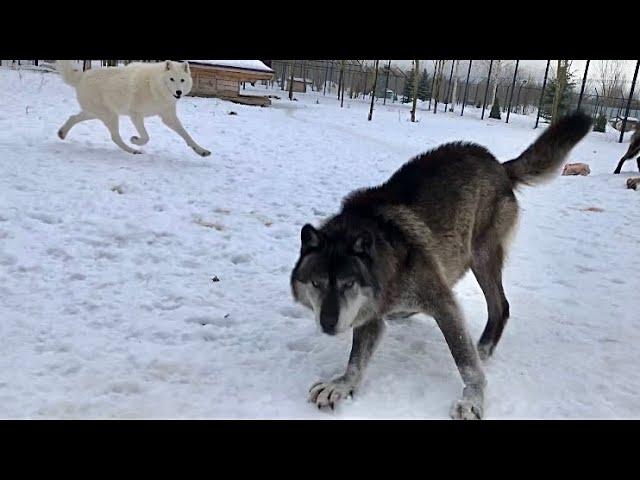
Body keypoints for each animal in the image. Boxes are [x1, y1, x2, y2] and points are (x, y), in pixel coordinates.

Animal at [56, 59, 211, 158]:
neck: (154, 86)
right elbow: (146, 137)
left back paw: (62, 133)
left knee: (73, 117)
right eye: (172, 79)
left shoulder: (168, 117)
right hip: (110, 116)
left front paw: (202, 151)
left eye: (182, 80)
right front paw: (135, 140)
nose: (178, 92)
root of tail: (82, 76)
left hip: (96, 114)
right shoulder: (136, 115)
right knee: (114, 137)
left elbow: (186, 135)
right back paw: (132, 150)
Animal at [290, 112, 592, 420]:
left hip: (480, 257)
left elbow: (466, 364)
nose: (327, 322)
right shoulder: (371, 313)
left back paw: (483, 349)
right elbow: (356, 360)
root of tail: (499, 166)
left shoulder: (443, 305)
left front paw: (472, 401)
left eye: (348, 284)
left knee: (501, 306)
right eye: (316, 283)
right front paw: (340, 386)